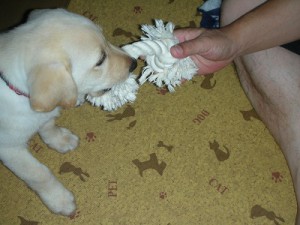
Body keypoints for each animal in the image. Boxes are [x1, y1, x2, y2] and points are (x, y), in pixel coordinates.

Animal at [0, 9, 137, 216]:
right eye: (100, 60)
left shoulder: (44, 113)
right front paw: (60, 199)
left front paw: (60, 139)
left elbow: (48, 123)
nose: (134, 63)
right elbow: (38, 173)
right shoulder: (9, 148)